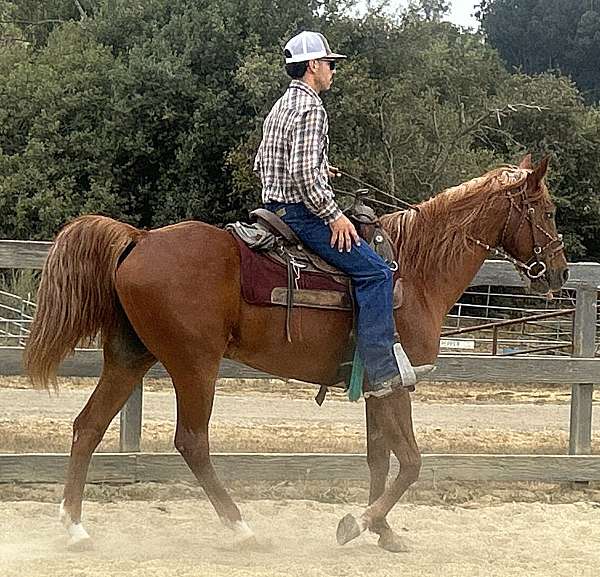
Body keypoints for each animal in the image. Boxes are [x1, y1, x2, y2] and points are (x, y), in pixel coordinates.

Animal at [24, 155, 568, 552]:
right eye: (546, 211)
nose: (559, 273)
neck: (414, 270)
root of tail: (138, 239)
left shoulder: (377, 384)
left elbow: (379, 460)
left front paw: (383, 532)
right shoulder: (398, 381)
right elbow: (411, 461)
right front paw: (357, 524)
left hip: (130, 357)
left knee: (88, 427)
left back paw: (74, 527)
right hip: (194, 364)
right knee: (191, 441)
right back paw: (240, 527)